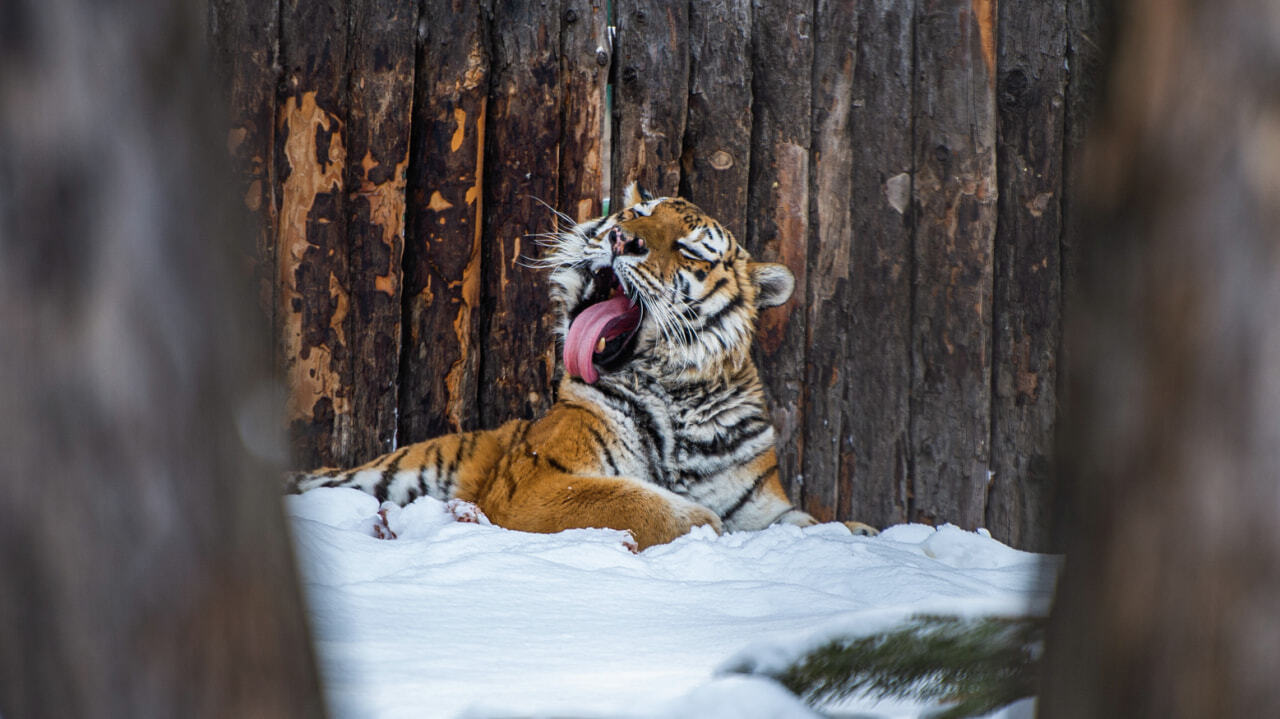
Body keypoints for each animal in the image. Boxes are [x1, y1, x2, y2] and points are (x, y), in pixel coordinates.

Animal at [288, 184, 880, 547]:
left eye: (689, 249)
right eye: (639, 214)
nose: (622, 238)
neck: (679, 397)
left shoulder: (762, 507)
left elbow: (812, 524)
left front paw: (864, 534)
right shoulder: (541, 481)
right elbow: (639, 503)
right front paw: (701, 527)